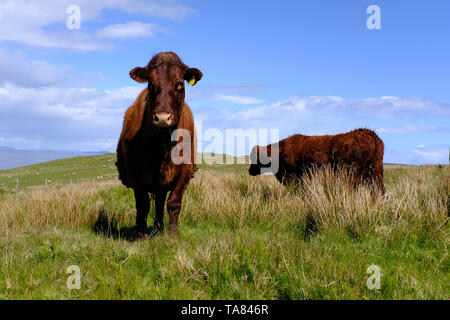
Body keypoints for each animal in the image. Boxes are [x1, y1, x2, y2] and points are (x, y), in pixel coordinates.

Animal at [116, 52, 202, 238]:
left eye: (179, 84)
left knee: (161, 202)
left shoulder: (184, 171)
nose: (162, 117)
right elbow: (142, 205)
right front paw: (140, 235)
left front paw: (173, 234)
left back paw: (159, 227)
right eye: (151, 83)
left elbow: (174, 202)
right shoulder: (136, 175)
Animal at [248, 128, 384, 194]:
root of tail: (368, 133)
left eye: (255, 158)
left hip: (352, 176)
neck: (280, 151)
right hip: (376, 172)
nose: (250, 171)